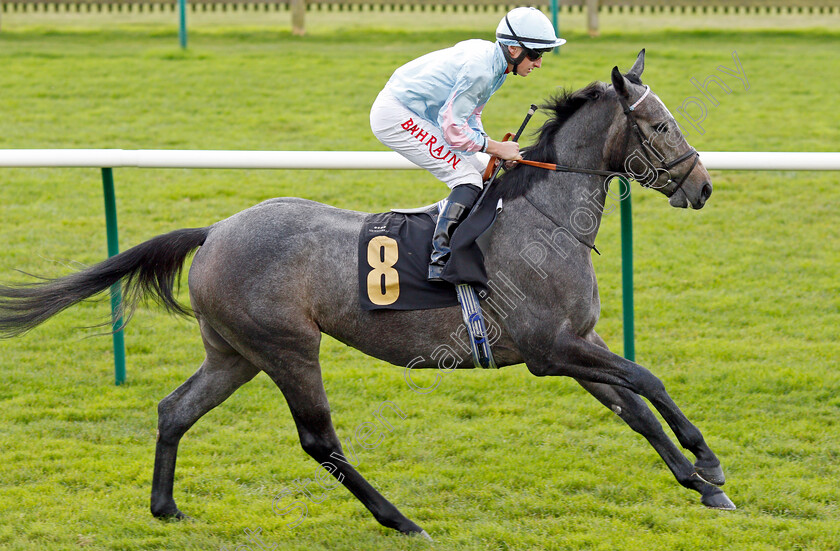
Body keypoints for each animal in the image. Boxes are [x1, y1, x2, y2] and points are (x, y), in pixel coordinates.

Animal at [0, 52, 736, 540]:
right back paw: (401, 519)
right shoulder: (549, 349)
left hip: (234, 353)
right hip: (288, 347)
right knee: (318, 439)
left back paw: (166, 508)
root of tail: (213, 231)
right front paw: (708, 461)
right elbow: (648, 379)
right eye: (660, 127)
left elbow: (633, 407)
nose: (701, 186)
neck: (543, 217)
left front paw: (699, 484)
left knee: (175, 410)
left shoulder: (574, 343)